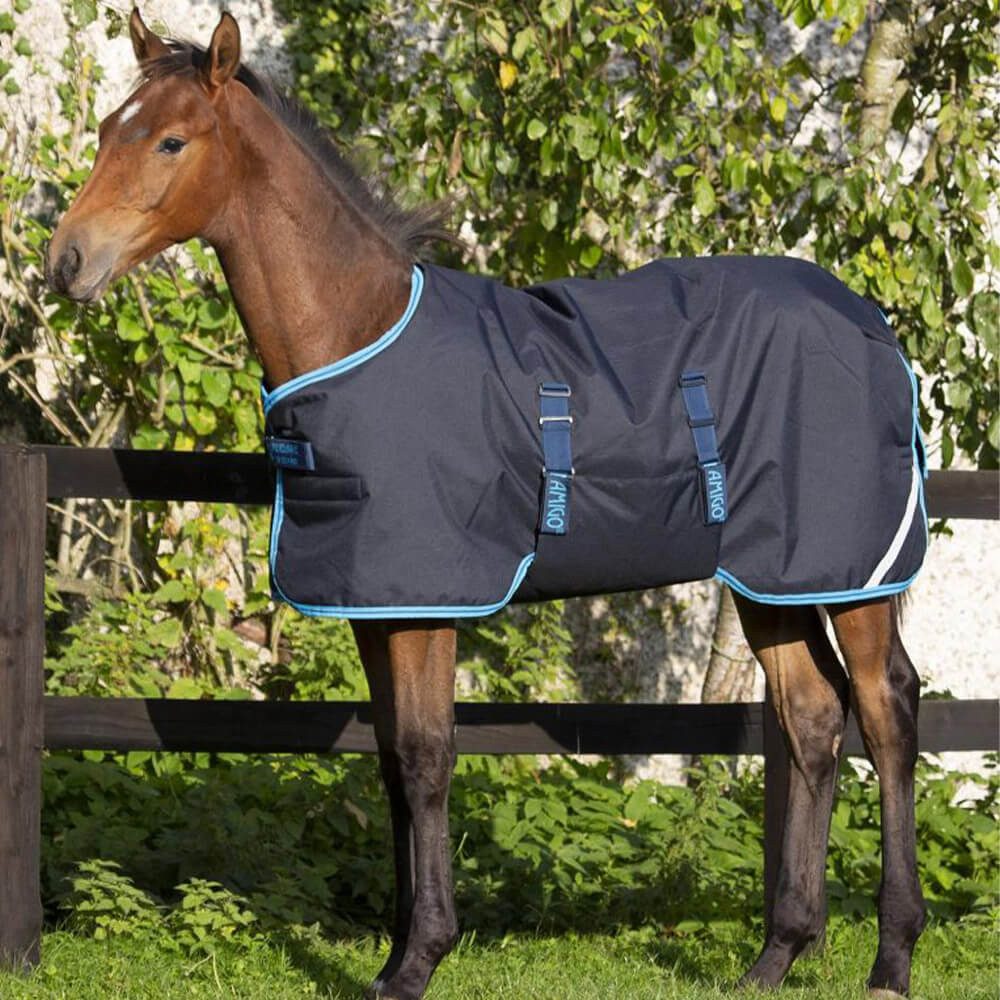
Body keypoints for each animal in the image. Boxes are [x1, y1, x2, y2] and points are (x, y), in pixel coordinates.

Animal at [46, 10, 927, 1000]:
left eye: (170, 140)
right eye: (107, 130)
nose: (65, 262)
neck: (358, 331)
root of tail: (870, 322)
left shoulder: (430, 605)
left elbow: (429, 758)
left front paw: (420, 959)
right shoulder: (377, 606)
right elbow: (393, 763)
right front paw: (396, 953)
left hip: (851, 573)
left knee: (886, 711)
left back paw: (892, 955)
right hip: (772, 578)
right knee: (812, 718)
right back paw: (776, 955)